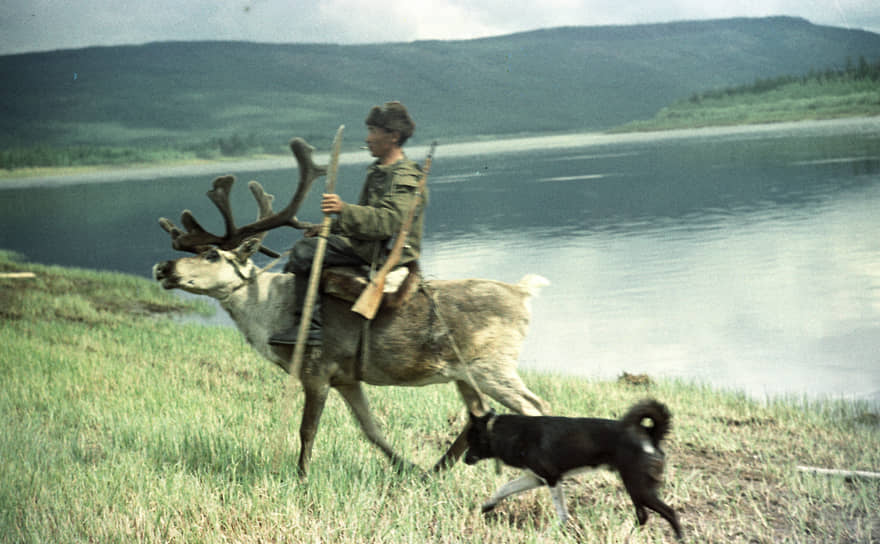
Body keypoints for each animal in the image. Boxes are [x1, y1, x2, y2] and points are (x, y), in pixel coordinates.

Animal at [464, 398, 684, 536]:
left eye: (470, 439)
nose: (464, 459)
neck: (500, 431)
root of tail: (649, 433)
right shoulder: (535, 478)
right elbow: (505, 488)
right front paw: (487, 506)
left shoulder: (552, 478)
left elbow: (562, 512)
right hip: (636, 487)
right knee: (643, 516)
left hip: (639, 487)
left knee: (670, 513)